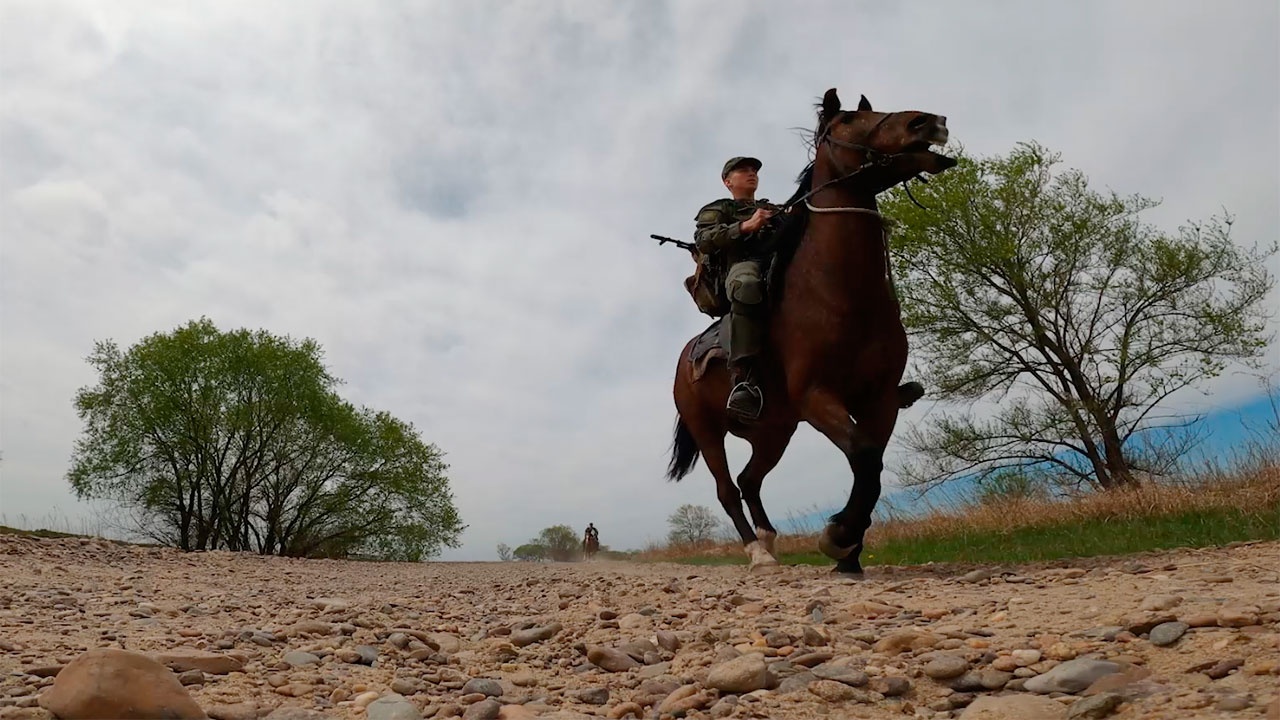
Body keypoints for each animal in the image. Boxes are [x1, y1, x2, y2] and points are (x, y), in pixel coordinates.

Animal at [665, 88, 957, 571]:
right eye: (848, 122)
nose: (929, 121)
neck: (842, 293)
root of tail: (684, 358)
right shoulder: (818, 396)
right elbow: (864, 456)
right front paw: (838, 538)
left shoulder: (880, 400)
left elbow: (871, 463)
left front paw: (849, 552)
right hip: (709, 432)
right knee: (727, 489)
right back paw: (757, 553)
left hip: (775, 431)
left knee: (750, 479)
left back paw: (769, 540)